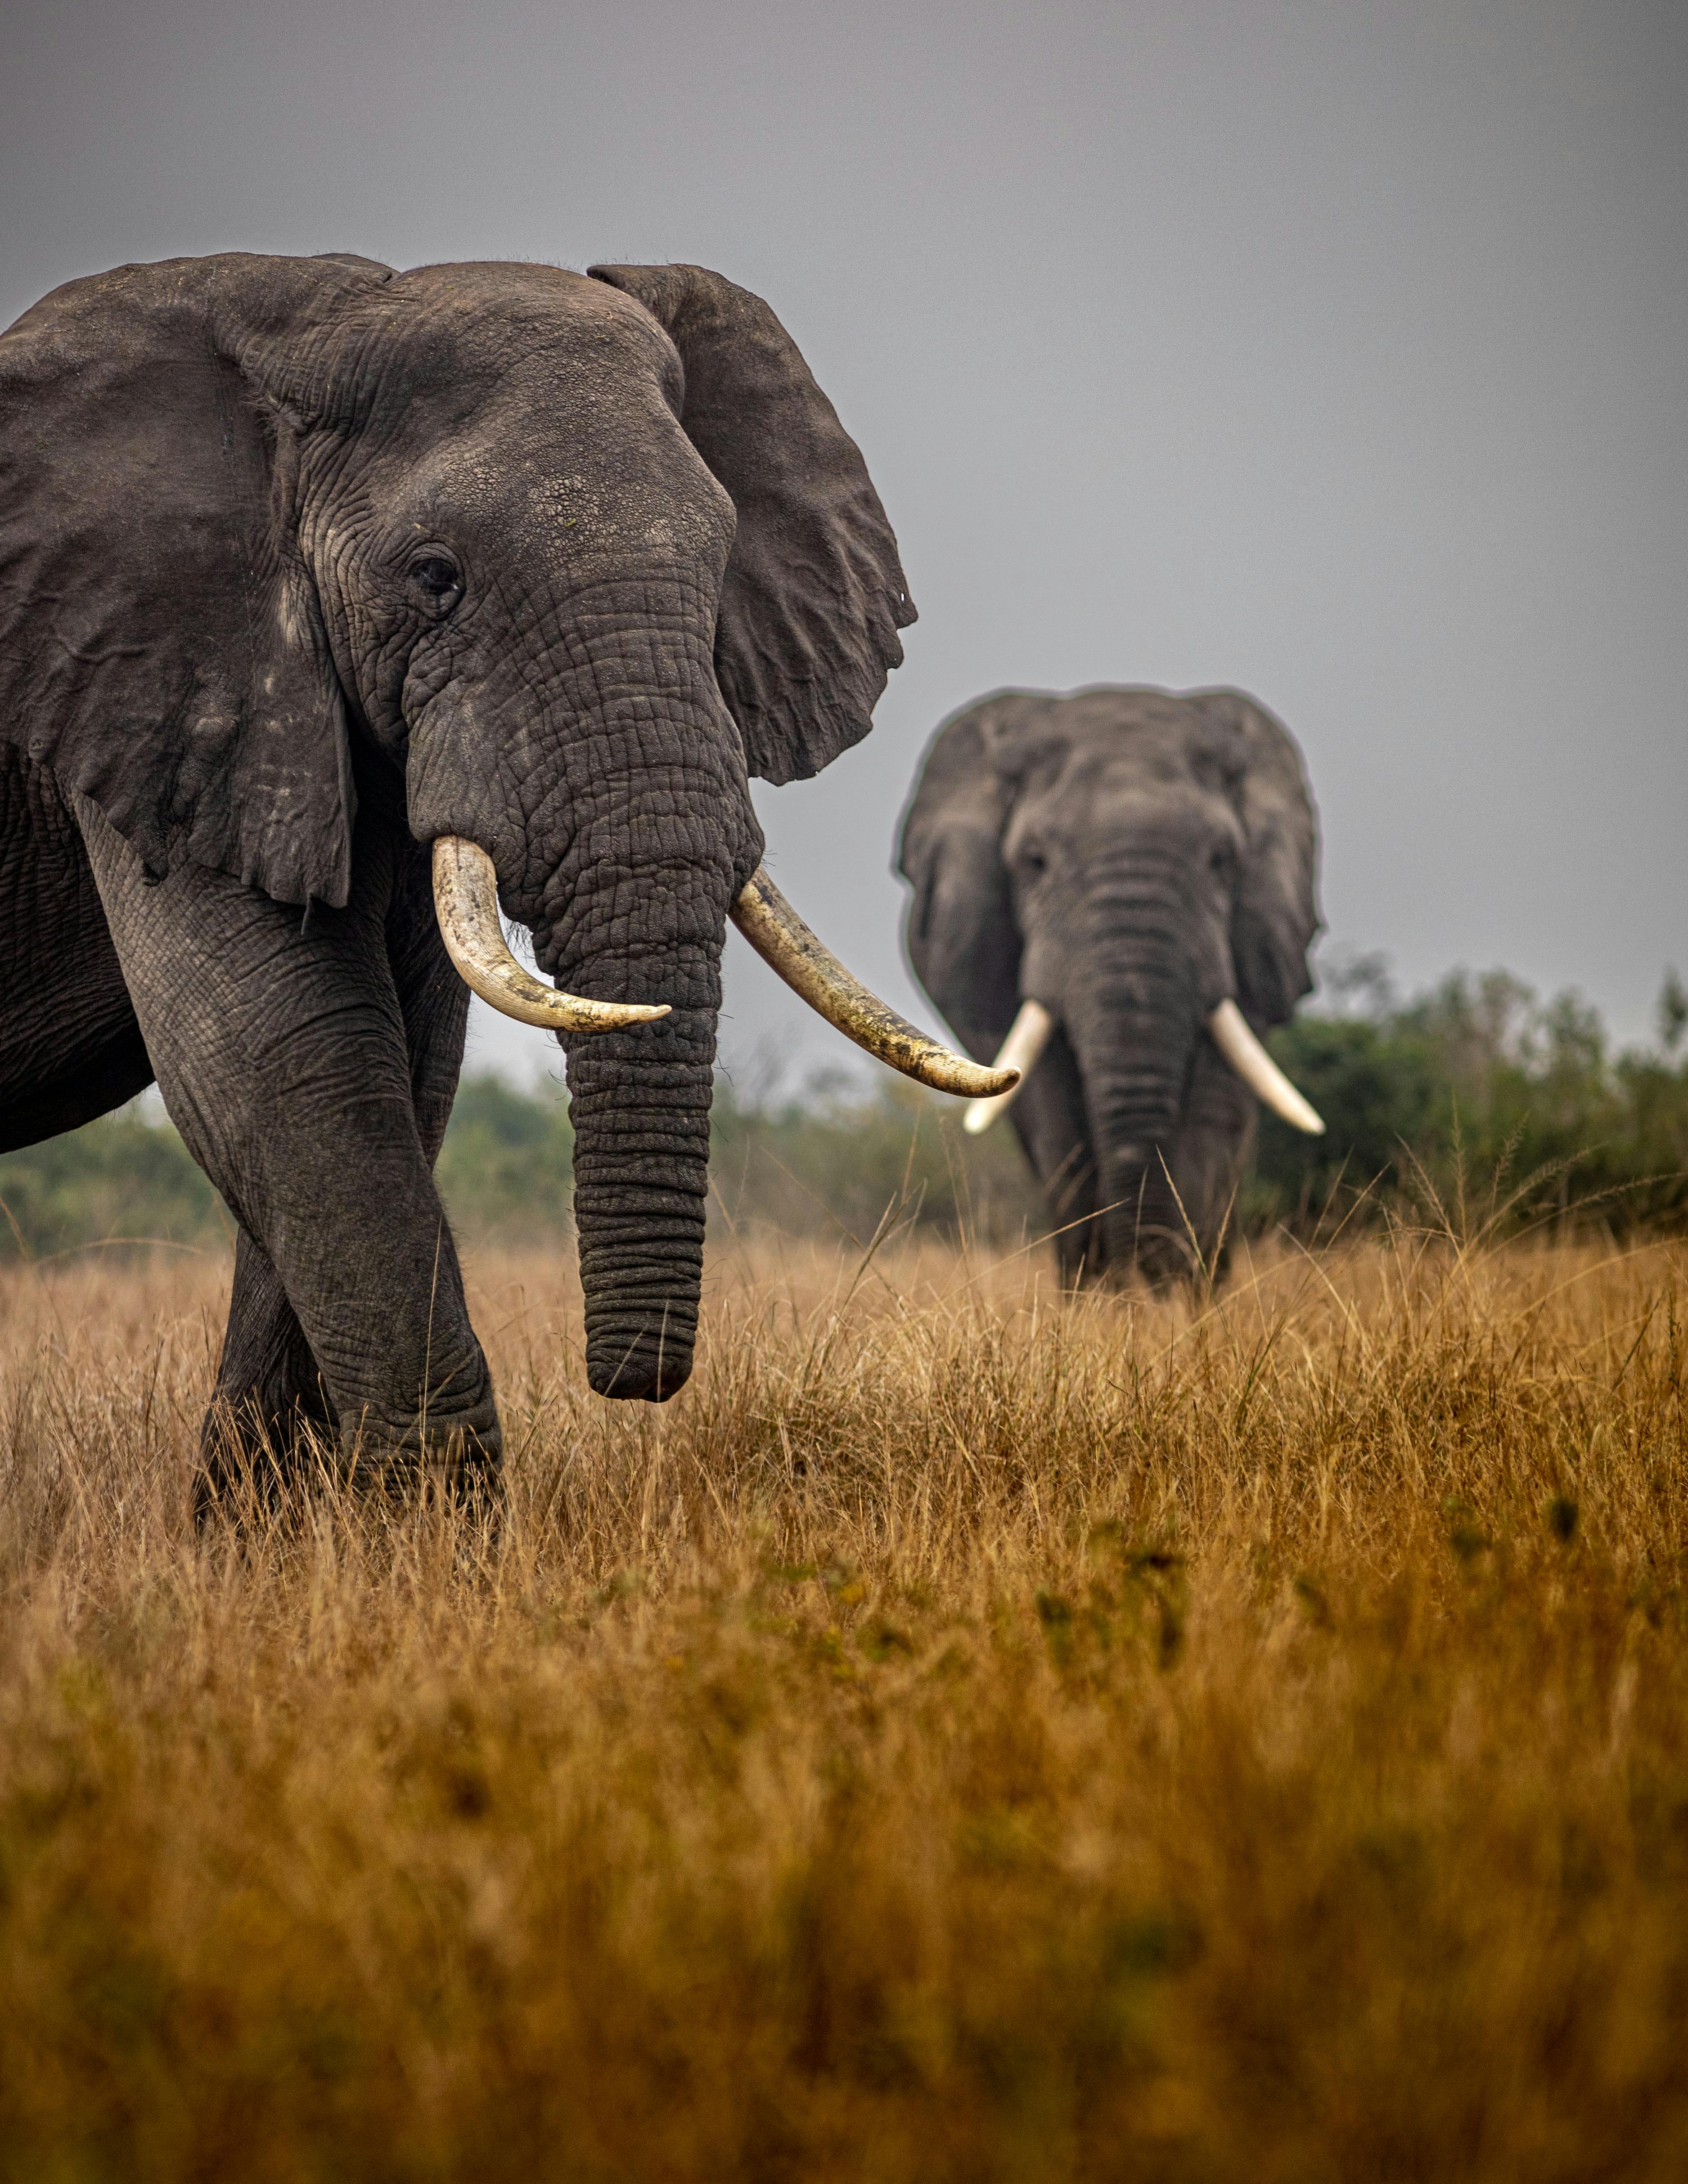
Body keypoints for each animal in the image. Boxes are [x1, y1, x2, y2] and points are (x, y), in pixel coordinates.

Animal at [0, 247, 1000, 1494]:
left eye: (723, 566)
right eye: (435, 578)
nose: (627, 1388)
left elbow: (398, 1061)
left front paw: (284, 1527)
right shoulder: (155, 679)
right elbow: (282, 1051)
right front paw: (428, 1522)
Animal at [904, 690, 1328, 1284]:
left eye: (1221, 861)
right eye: (1034, 861)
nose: (1144, 1277)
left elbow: (1215, 1106)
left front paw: (1183, 1295)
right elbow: (1052, 1112)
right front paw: (1101, 1297)